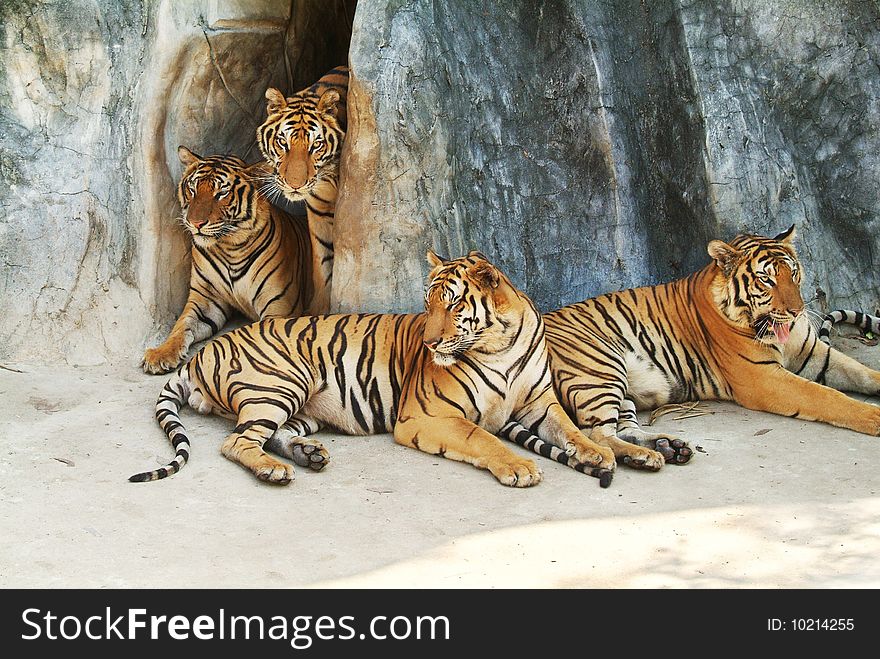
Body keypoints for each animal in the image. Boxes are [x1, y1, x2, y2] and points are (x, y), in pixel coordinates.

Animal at [144, 151, 320, 376]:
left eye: (221, 193)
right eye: (192, 189)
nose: (195, 223)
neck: (229, 248)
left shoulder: (280, 307)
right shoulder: (205, 300)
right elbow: (181, 326)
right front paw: (160, 354)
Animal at [254, 65, 348, 316]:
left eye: (316, 145)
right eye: (282, 142)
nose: (295, 184)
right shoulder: (319, 213)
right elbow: (322, 264)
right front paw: (318, 310)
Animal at [506, 227, 880, 470]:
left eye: (794, 273)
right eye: (766, 280)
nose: (797, 311)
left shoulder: (816, 354)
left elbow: (865, 374)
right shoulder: (764, 379)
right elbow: (828, 397)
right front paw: (874, 417)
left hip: (619, 387)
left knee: (621, 428)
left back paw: (666, 448)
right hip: (600, 370)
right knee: (594, 433)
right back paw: (648, 456)